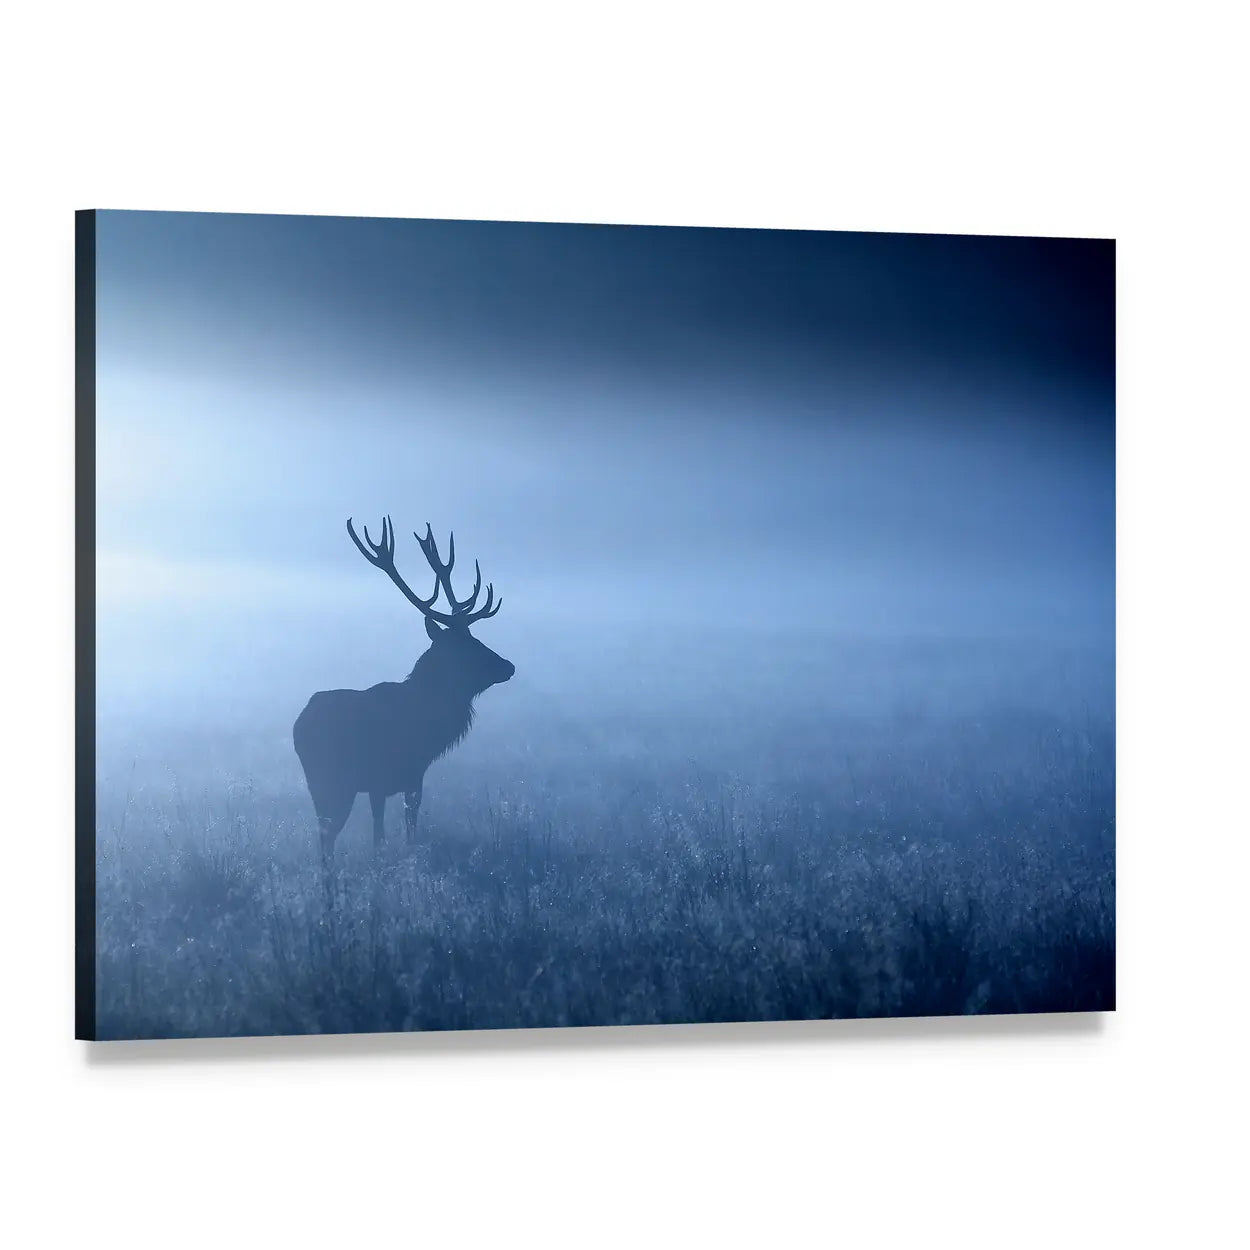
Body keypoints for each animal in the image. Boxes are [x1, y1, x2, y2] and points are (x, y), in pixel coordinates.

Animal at [293, 515, 514, 861]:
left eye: (476, 638)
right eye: (467, 646)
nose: (508, 666)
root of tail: (298, 724)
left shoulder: (413, 775)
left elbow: (410, 823)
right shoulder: (381, 777)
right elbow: (381, 833)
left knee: (325, 832)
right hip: (331, 778)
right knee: (327, 835)